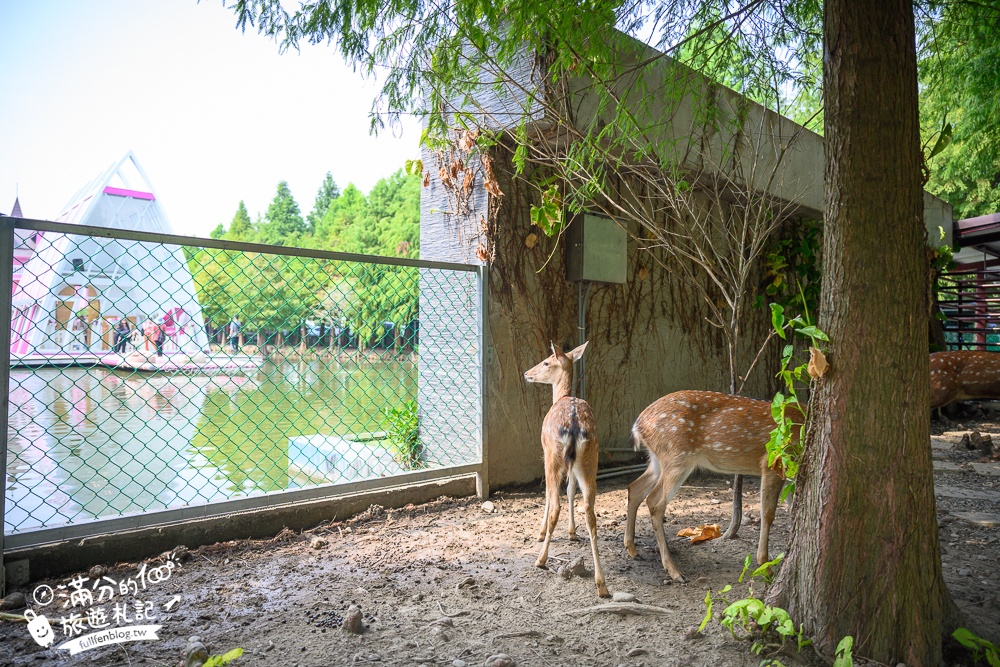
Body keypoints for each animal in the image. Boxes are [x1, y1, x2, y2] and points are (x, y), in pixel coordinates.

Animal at [524, 342, 608, 596]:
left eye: (546, 361)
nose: (526, 373)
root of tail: (574, 426)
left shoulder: (545, 453)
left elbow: (547, 495)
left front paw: (540, 533)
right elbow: (571, 490)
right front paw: (572, 533)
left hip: (554, 455)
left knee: (555, 506)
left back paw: (541, 559)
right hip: (590, 459)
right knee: (590, 512)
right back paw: (601, 584)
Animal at [620, 392, 800, 584]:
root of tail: (638, 424)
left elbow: (791, 509)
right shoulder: (773, 462)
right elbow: (768, 514)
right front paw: (765, 567)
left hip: (658, 459)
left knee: (635, 487)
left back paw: (633, 550)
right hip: (677, 456)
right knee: (654, 501)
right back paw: (675, 571)